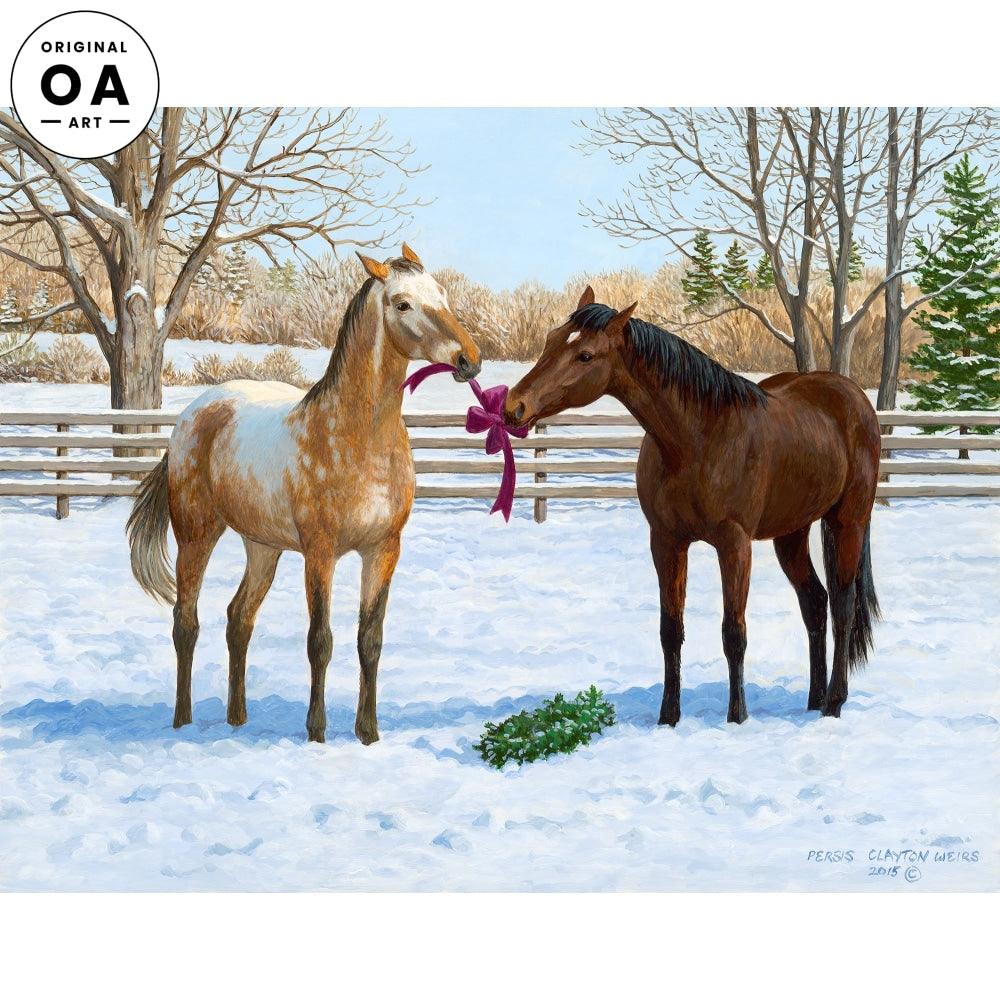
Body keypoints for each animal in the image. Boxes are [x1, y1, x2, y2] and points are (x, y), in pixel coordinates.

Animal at [127, 245, 481, 744]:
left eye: (443, 295)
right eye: (403, 304)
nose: (470, 359)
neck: (358, 438)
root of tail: (194, 414)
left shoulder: (383, 550)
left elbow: (370, 640)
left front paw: (368, 734)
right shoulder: (320, 551)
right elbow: (321, 640)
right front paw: (316, 733)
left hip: (262, 547)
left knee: (239, 619)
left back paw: (238, 719)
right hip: (196, 536)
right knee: (186, 622)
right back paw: (182, 722)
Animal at [504, 286, 880, 725]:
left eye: (585, 355)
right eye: (551, 339)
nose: (514, 406)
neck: (699, 438)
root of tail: (851, 395)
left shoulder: (734, 545)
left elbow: (734, 633)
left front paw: (737, 718)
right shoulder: (667, 542)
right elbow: (670, 630)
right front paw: (668, 718)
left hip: (847, 522)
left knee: (843, 606)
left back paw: (834, 703)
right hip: (791, 533)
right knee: (815, 604)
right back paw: (814, 699)